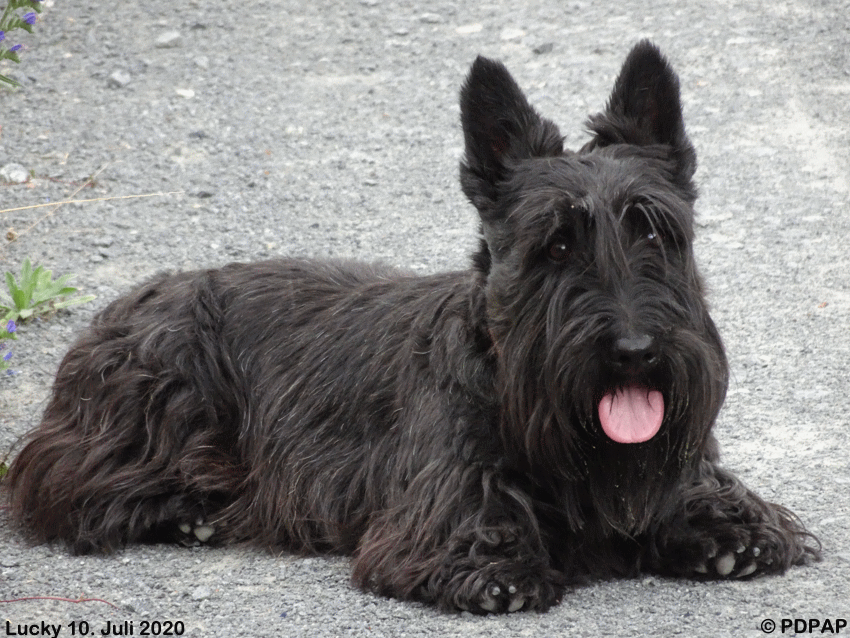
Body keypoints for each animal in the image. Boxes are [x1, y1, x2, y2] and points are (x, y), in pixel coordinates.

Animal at [4, 41, 816, 616]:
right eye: (556, 245)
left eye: (653, 231)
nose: (635, 353)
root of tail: (123, 307)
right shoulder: (441, 492)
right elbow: (474, 528)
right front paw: (497, 565)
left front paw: (725, 528)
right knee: (67, 489)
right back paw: (188, 512)